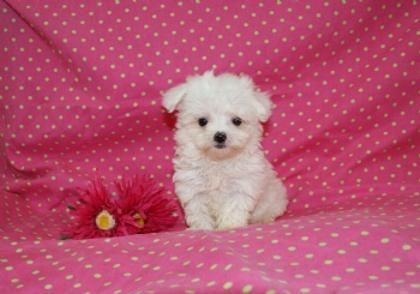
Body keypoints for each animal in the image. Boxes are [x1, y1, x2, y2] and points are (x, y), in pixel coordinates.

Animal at [162, 71, 288, 230]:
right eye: (202, 121)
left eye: (237, 121)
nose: (220, 136)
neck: (218, 160)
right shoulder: (192, 186)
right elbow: (198, 211)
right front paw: (201, 228)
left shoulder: (242, 186)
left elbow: (234, 208)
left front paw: (229, 226)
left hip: (274, 198)